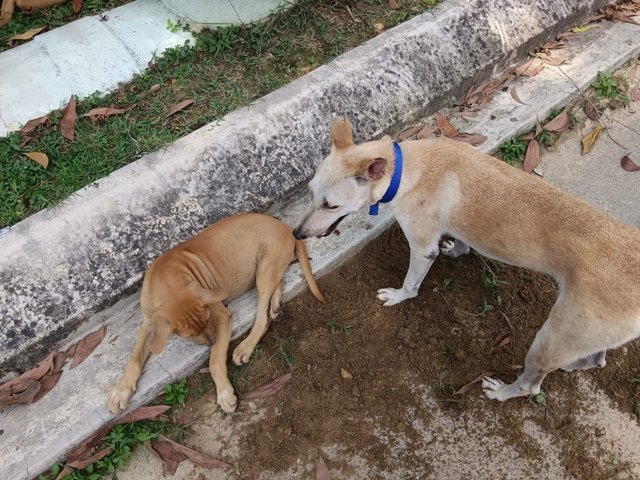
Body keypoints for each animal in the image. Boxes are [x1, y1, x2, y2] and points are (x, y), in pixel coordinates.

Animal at [109, 214, 324, 412]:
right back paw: (276, 307)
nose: (212, 341)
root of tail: (286, 227)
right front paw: (120, 391)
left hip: (264, 268)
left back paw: (246, 346)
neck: (168, 279)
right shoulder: (147, 324)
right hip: (267, 271)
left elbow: (214, 361)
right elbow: (134, 358)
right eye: (188, 335)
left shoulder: (221, 318)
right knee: (277, 284)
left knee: (263, 317)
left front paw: (225, 394)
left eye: (207, 320)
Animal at [296, 118, 640, 404]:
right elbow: (461, 239)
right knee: (595, 358)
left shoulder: (422, 247)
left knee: (531, 384)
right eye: (310, 192)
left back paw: (503, 392)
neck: (406, 169)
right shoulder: (455, 225)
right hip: (580, 334)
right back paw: (574, 365)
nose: (297, 234)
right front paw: (456, 250)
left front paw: (397, 295)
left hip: (552, 336)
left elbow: (411, 285)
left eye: (330, 205)